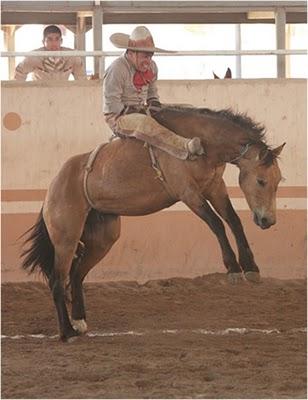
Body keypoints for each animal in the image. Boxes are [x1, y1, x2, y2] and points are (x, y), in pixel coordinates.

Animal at [21, 106, 286, 340]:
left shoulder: (214, 187)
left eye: (278, 180)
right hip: (66, 239)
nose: (268, 220)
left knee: (76, 275)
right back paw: (66, 332)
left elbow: (233, 221)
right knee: (57, 281)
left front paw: (251, 267)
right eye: (261, 181)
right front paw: (232, 269)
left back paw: (79, 322)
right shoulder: (188, 193)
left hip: (103, 238)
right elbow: (217, 224)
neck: (204, 144)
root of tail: (54, 185)